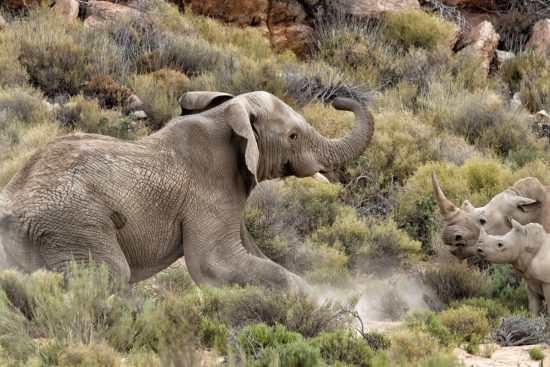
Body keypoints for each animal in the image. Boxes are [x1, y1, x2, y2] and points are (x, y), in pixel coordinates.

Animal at [0, 91, 376, 294]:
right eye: (293, 136)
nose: (338, 101)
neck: (225, 118)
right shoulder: (207, 194)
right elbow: (213, 264)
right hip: (73, 223)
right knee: (109, 276)